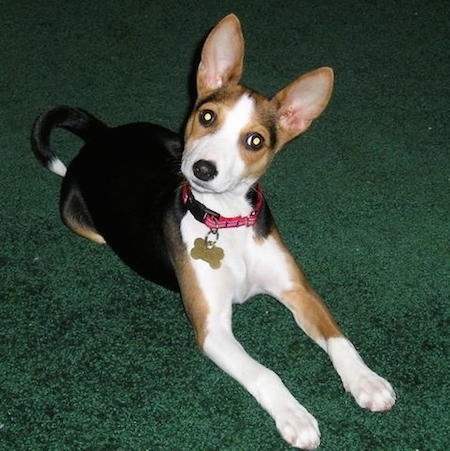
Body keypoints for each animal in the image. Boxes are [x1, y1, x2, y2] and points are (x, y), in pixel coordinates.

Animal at [31, 13, 396, 448]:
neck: (226, 222)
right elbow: (265, 373)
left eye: (255, 140)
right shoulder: (212, 327)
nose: (203, 169)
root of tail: (105, 135)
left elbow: (340, 339)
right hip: (82, 219)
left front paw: (366, 380)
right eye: (207, 117)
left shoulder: (299, 291)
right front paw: (295, 415)